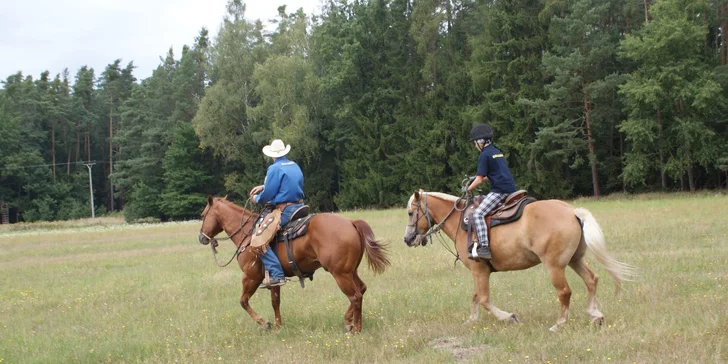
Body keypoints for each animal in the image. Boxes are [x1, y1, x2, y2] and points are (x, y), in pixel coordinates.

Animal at [199, 196, 390, 332]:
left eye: (202, 215)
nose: (201, 237)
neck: (247, 234)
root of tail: (351, 222)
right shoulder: (273, 279)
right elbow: (275, 301)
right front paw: (278, 326)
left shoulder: (251, 277)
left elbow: (243, 301)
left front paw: (265, 323)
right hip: (350, 271)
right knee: (361, 289)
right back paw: (349, 322)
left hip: (340, 274)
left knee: (355, 296)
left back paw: (355, 328)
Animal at [404, 192, 636, 332]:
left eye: (410, 212)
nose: (407, 239)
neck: (461, 221)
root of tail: (572, 212)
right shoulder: (479, 272)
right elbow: (476, 297)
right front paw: (471, 320)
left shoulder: (479, 270)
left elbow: (484, 299)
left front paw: (509, 317)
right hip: (574, 260)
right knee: (591, 280)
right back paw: (595, 315)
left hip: (554, 266)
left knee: (564, 292)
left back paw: (559, 324)